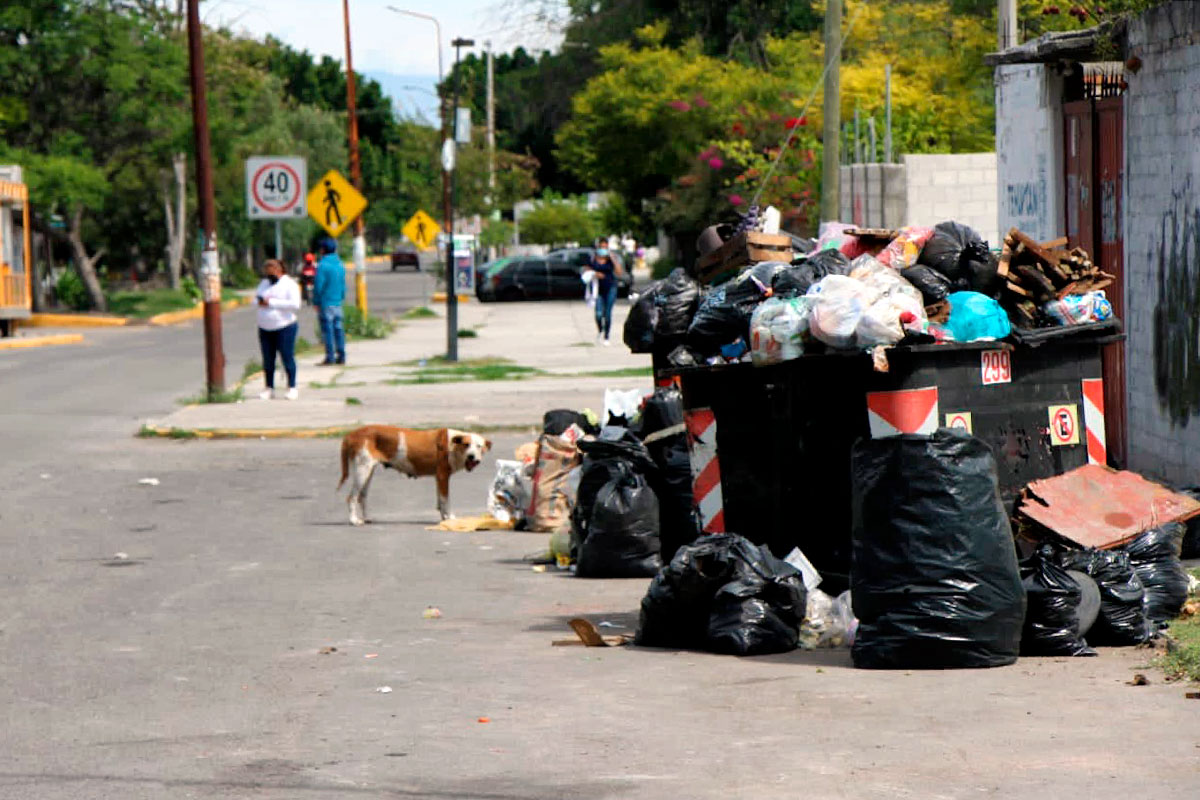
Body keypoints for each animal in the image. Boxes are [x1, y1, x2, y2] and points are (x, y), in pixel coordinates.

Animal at [336, 424, 489, 525]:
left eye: (479, 446)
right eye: (466, 445)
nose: (471, 457)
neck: (453, 445)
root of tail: (352, 434)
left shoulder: (439, 478)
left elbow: (440, 501)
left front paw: (444, 518)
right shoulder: (443, 476)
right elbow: (446, 500)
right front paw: (449, 518)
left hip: (368, 471)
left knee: (362, 496)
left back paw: (366, 518)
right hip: (362, 470)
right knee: (352, 497)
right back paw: (353, 520)